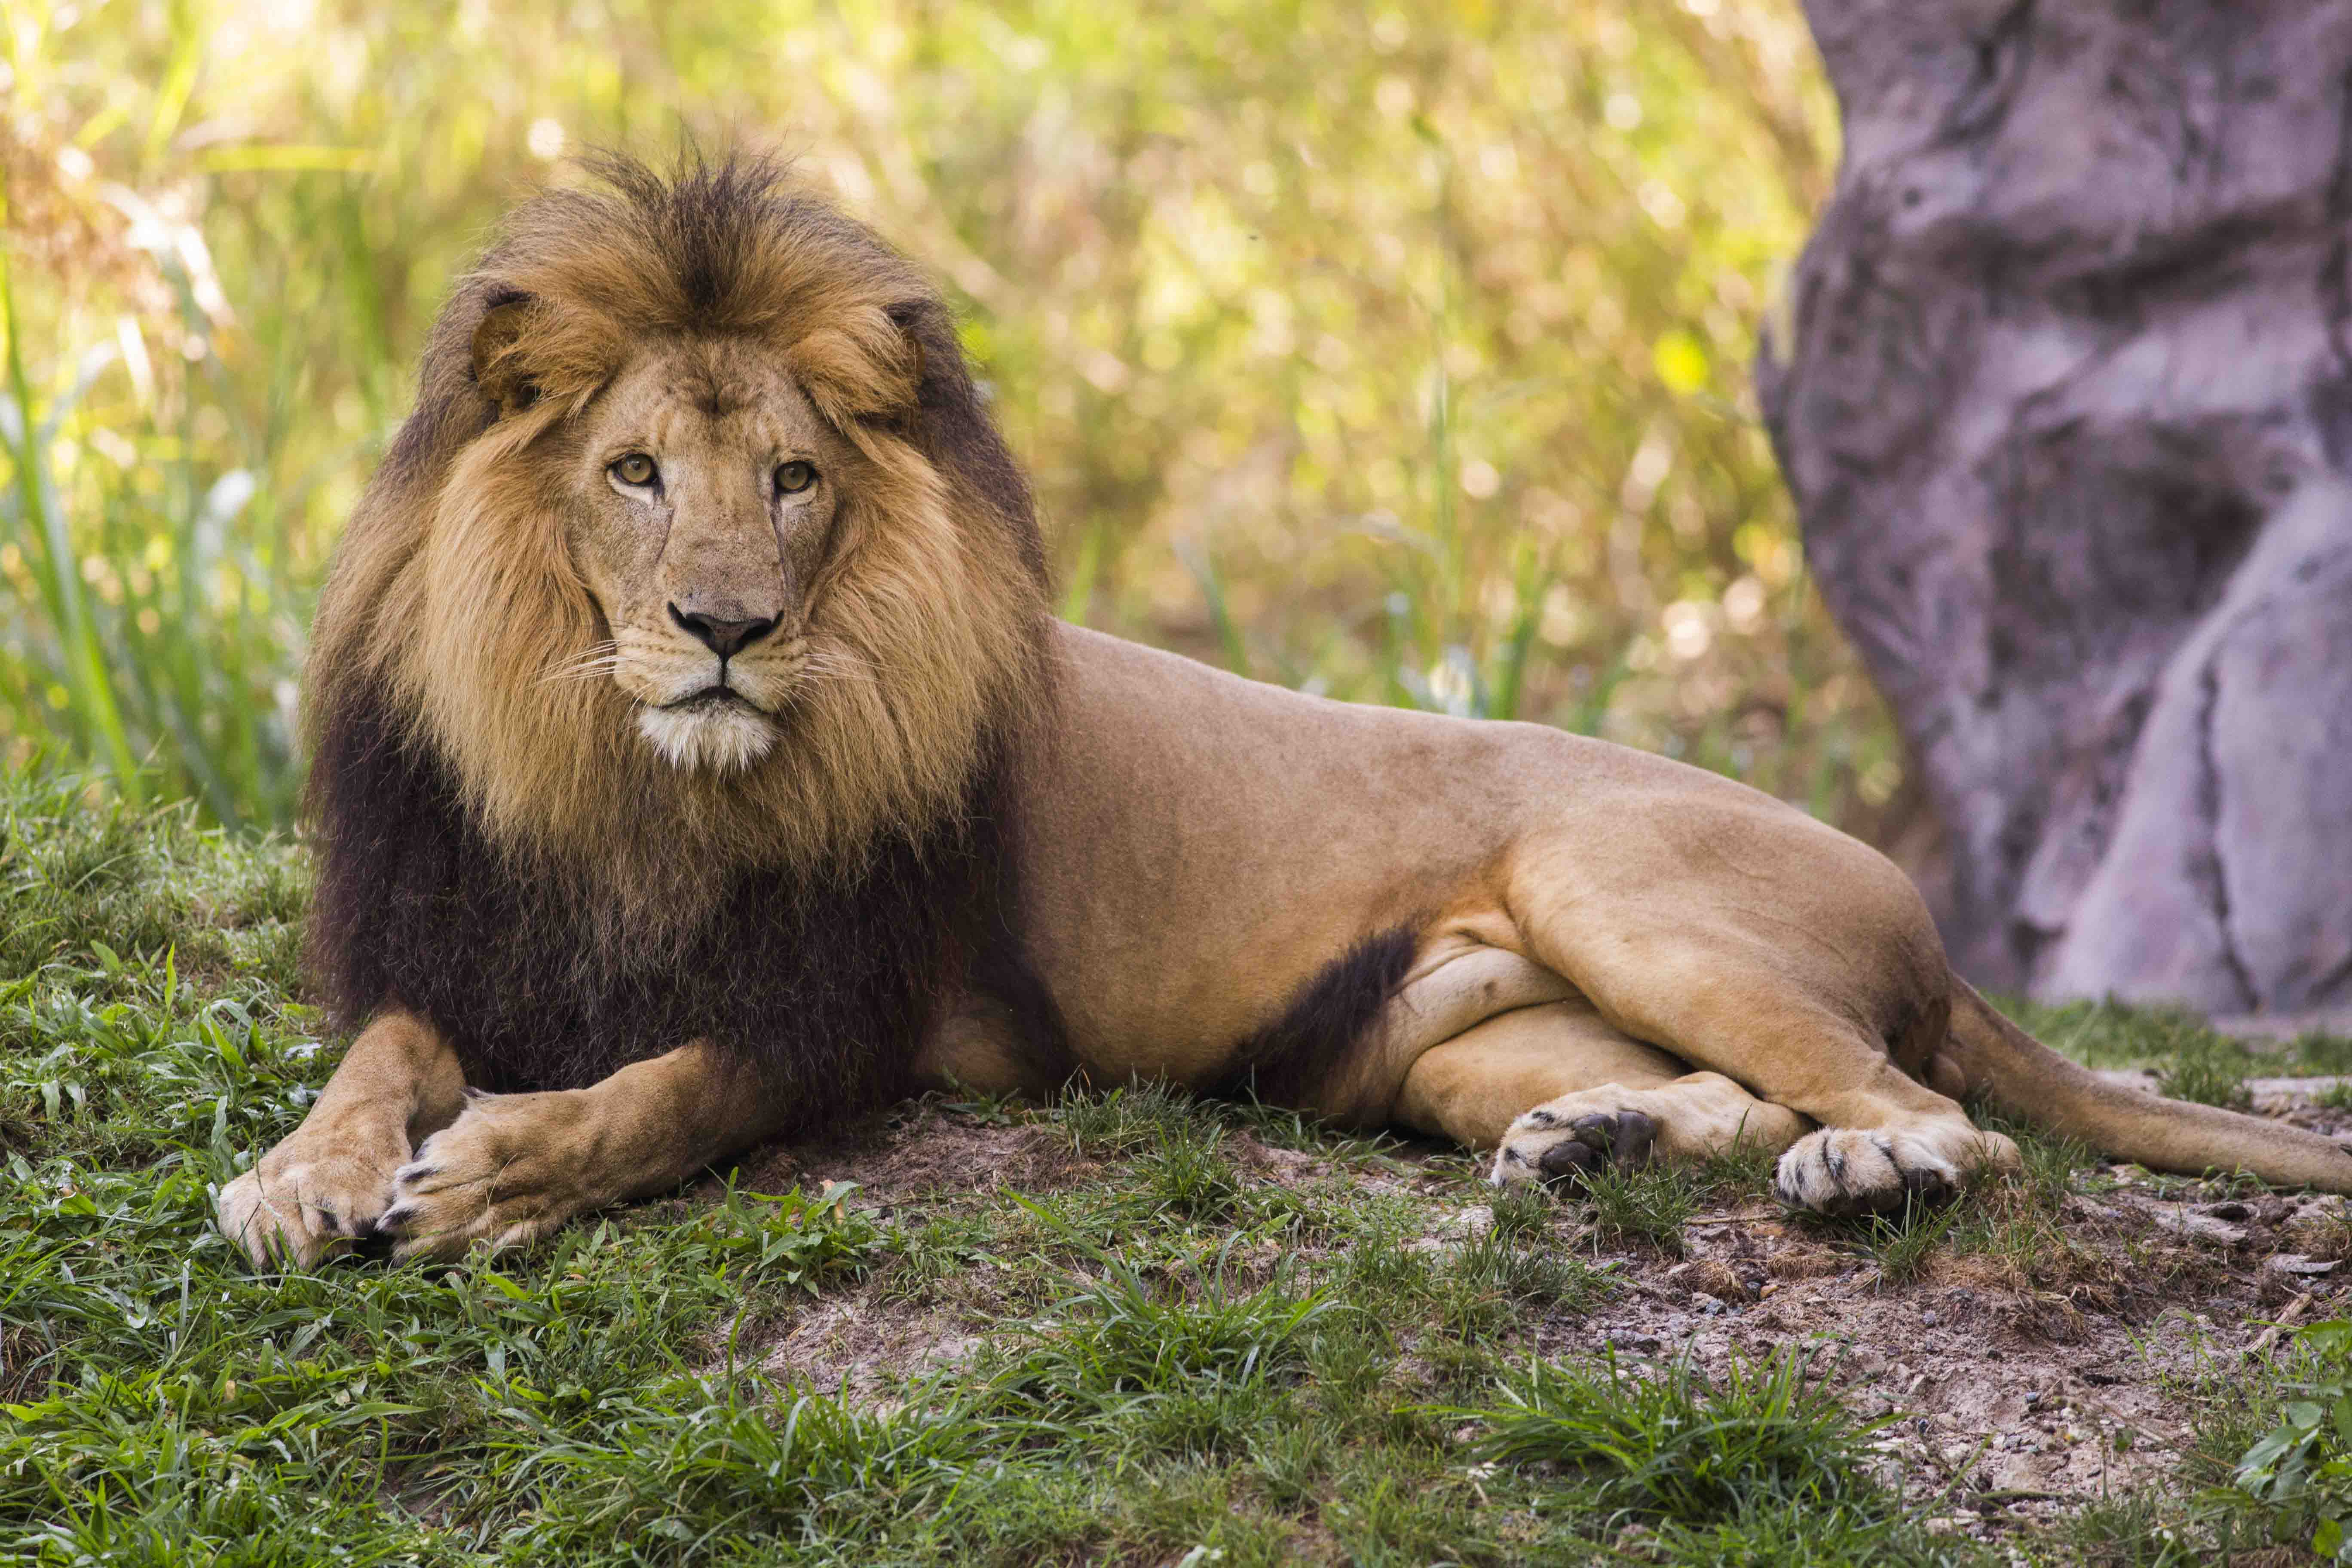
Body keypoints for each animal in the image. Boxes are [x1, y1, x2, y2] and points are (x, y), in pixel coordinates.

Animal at [221, 153, 2352, 1269]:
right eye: (639, 472)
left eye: (799, 481)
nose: (727, 628)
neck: (626, 780)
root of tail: (1924, 919)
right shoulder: (462, 943)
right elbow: (376, 1060)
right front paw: (300, 1178)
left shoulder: (854, 1014)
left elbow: (658, 1093)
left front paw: (496, 1175)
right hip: (1449, 1048)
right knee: (1737, 1092)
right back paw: (1590, 1143)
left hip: (1625, 888)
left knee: (1932, 1115)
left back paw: (1866, 1171)